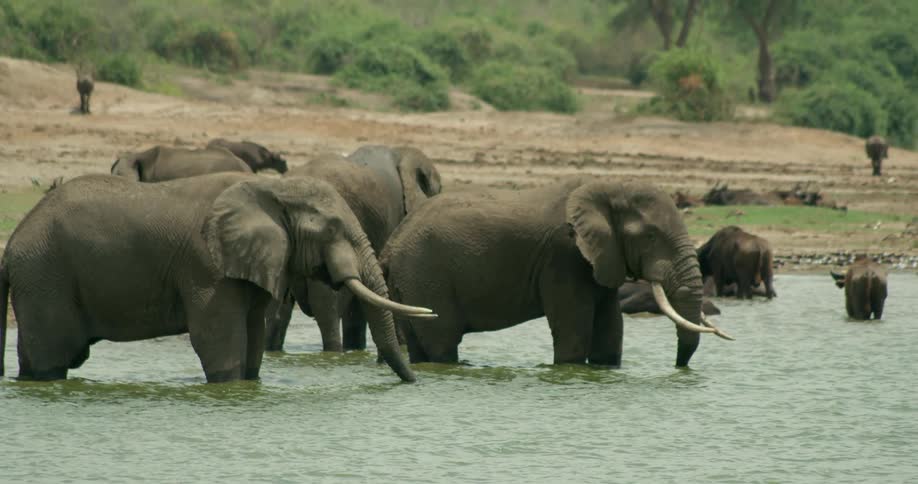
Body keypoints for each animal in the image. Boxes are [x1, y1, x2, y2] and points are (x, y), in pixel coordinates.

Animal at [0, 172, 433, 383]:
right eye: (332, 229)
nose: (414, 383)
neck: (273, 188)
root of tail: (11, 246)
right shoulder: (205, 264)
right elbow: (217, 339)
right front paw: (228, 387)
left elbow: (253, 335)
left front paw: (250, 384)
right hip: (45, 278)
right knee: (52, 358)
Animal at [380, 177, 732, 368]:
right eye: (649, 237)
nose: (678, 368)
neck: (609, 187)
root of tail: (391, 244)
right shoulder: (564, 256)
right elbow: (574, 334)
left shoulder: (601, 259)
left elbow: (610, 331)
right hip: (425, 276)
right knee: (442, 343)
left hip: (411, 281)